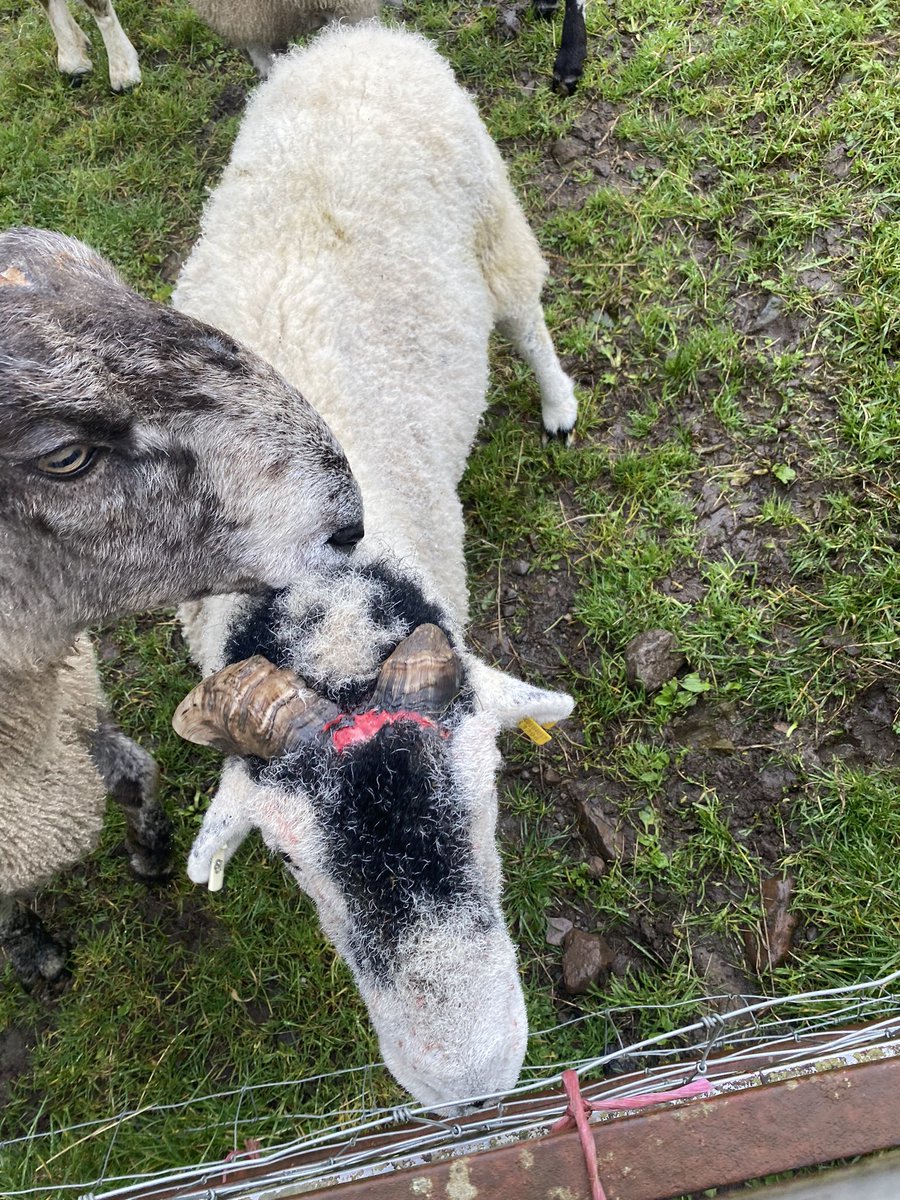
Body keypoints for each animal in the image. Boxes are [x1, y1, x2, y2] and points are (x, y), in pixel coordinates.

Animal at [0, 226, 364, 989]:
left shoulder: (80, 708)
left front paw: (152, 852)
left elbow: (139, 774)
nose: (350, 523)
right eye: (65, 456)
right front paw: (33, 952)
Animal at [169, 23, 577, 1111]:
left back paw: (559, 403)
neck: (320, 597)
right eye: (286, 861)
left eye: (489, 790)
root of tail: (351, 36)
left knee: (526, 313)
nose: (470, 1079)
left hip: (492, 217)